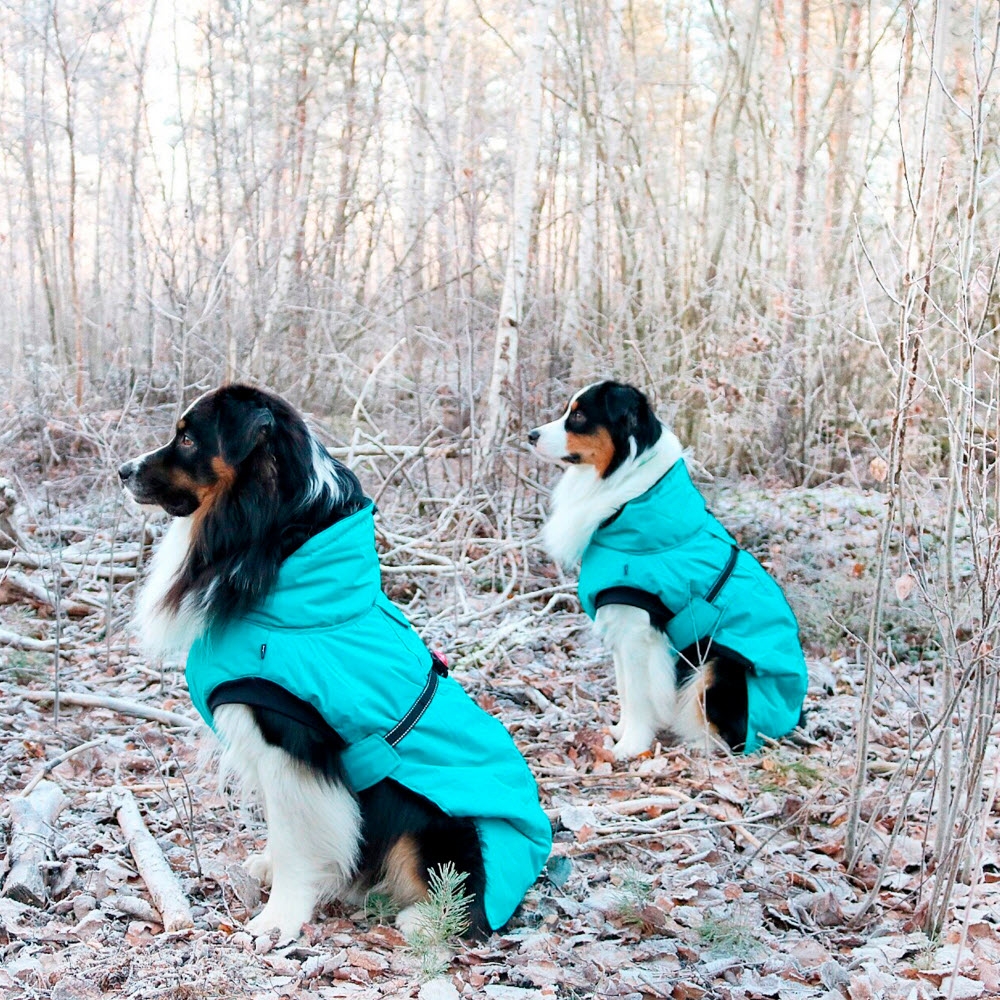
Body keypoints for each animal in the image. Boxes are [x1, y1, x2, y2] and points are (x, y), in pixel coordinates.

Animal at [123, 382, 556, 936]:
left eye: (187, 439)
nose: (123, 471)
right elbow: (281, 827)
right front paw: (270, 869)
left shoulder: (293, 742)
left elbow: (296, 835)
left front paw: (279, 918)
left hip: (440, 827)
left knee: (468, 902)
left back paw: (422, 920)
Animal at [528, 380, 808, 756]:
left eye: (580, 416)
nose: (530, 435)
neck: (628, 498)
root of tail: (792, 718)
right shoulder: (620, 623)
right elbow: (626, 690)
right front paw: (620, 732)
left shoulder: (638, 629)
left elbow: (639, 695)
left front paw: (630, 747)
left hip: (721, 666)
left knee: (730, 736)